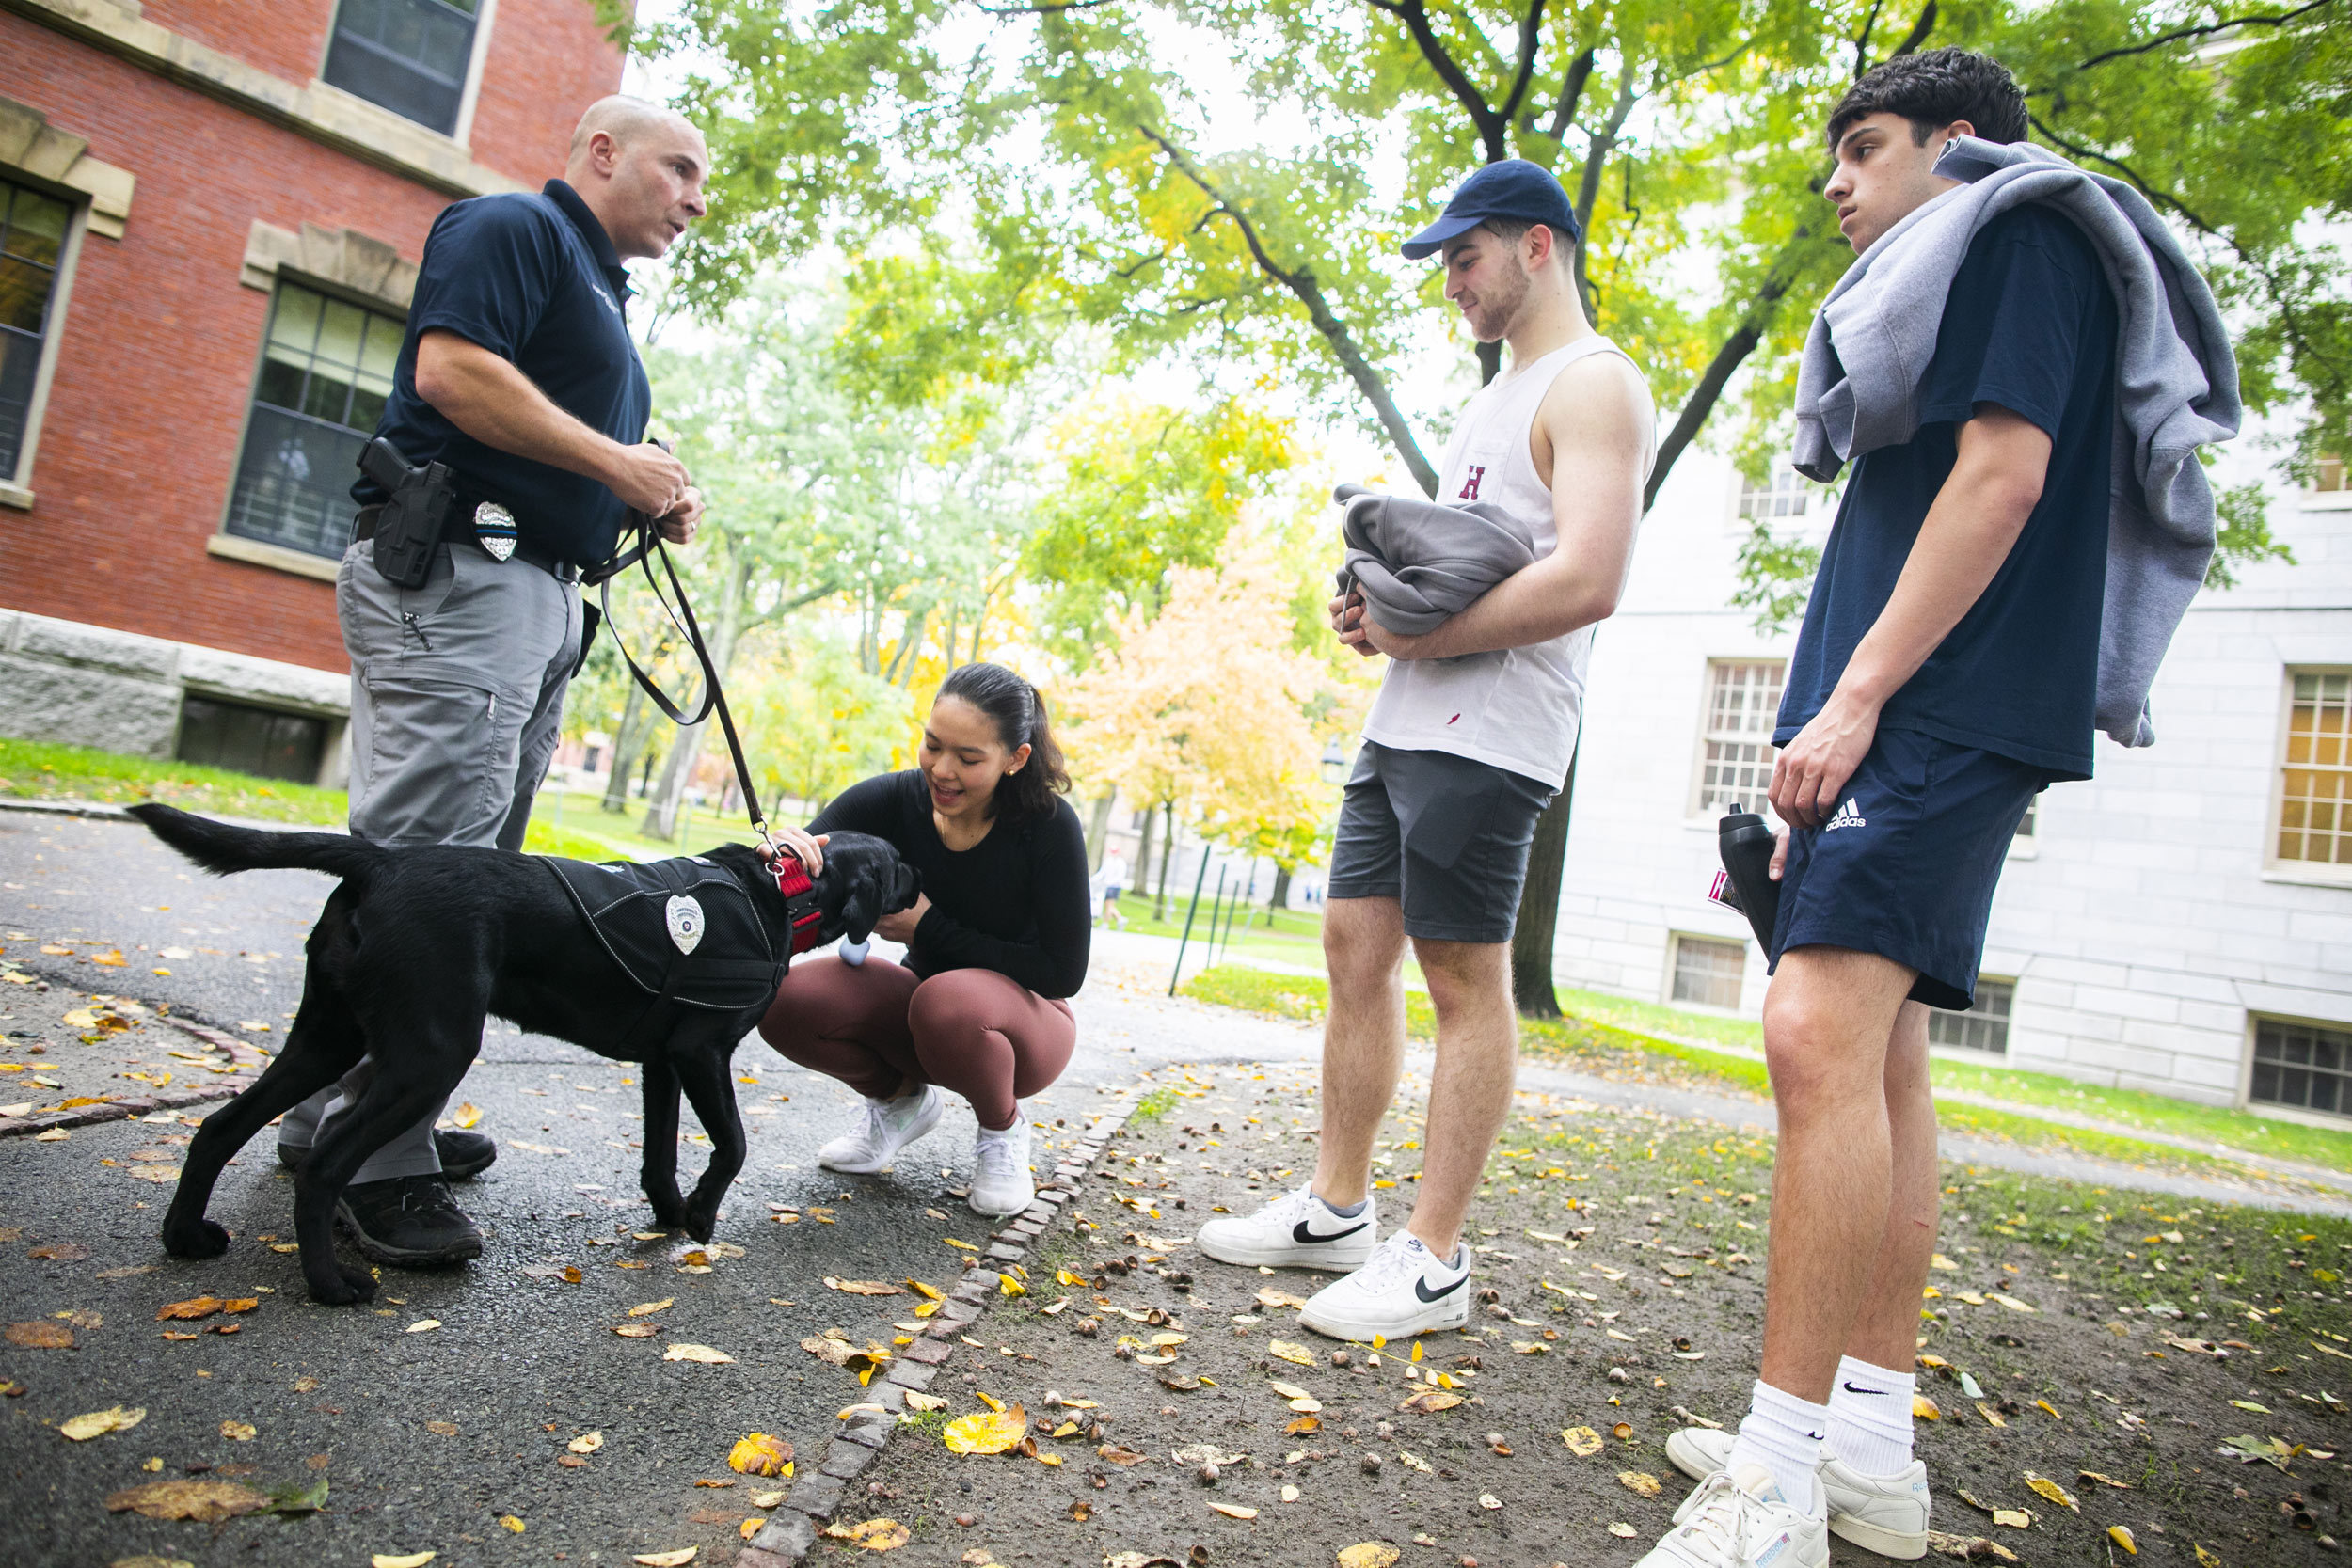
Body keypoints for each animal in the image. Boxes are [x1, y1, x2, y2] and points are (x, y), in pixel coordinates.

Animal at [123, 803, 917, 1307]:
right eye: (896, 864)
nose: (923, 881)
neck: (779, 895)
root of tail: (382, 862)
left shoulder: (661, 1062)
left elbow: (659, 1153)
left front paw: (667, 1213)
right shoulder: (702, 1051)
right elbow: (735, 1143)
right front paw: (699, 1216)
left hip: (328, 1035)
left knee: (219, 1125)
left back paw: (184, 1235)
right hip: (430, 1054)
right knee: (321, 1163)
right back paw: (330, 1285)